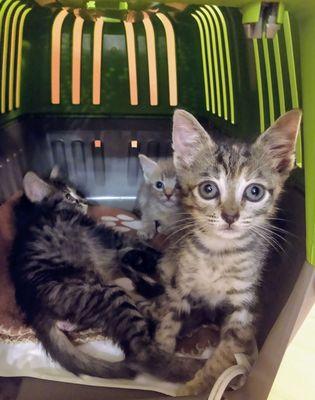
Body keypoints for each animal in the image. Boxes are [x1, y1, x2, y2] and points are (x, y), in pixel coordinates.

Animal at [9, 171, 204, 382]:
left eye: (75, 192)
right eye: (68, 196)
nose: (83, 200)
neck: (32, 214)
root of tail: (33, 309)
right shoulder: (108, 235)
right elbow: (149, 249)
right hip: (107, 295)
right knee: (142, 353)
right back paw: (192, 367)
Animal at [156, 108, 304, 396]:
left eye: (255, 191)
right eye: (208, 189)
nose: (230, 216)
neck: (219, 254)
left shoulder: (245, 310)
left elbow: (223, 357)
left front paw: (195, 387)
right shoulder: (181, 286)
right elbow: (168, 321)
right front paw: (159, 354)